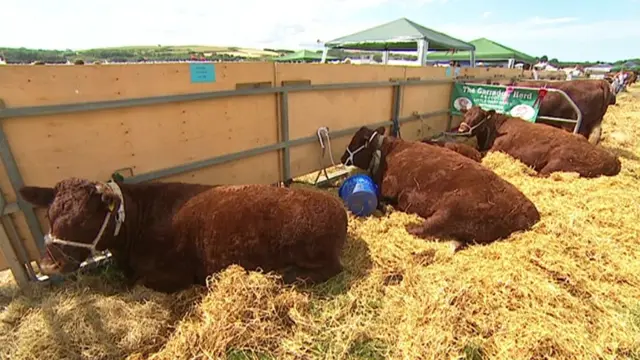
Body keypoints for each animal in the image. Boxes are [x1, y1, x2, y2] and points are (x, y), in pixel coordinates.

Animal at [20, 177, 348, 292]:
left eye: (86, 219)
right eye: (49, 215)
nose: (49, 264)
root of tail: (336, 206)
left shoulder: (173, 274)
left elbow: (141, 283)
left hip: (313, 253)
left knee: (330, 269)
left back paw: (286, 275)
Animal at [340, 125, 540, 252]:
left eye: (356, 142)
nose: (342, 158)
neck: (389, 151)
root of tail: (531, 213)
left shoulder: (389, 187)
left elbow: (382, 200)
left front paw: (389, 208)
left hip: (452, 208)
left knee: (425, 229)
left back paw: (409, 224)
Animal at [458, 105, 624, 178]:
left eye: (479, 117)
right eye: (466, 114)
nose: (461, 128)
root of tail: (614, 159)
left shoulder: (494, 150)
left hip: (557, 163)